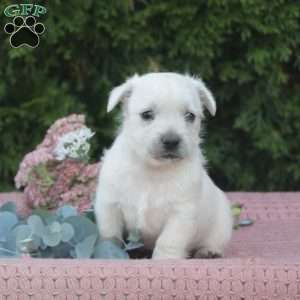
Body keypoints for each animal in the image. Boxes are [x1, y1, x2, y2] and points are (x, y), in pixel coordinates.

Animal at [95, 72, 233, 258]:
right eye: (147, 114)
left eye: (190, 116)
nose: (171, 141)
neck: (153, 170)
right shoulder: (109, 205)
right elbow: (110, 234)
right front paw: (108, 251)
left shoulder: (181, 214)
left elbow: (168, 241)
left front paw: (164, 259)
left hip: (222, 225)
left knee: (214, 241)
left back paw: (208, 252)